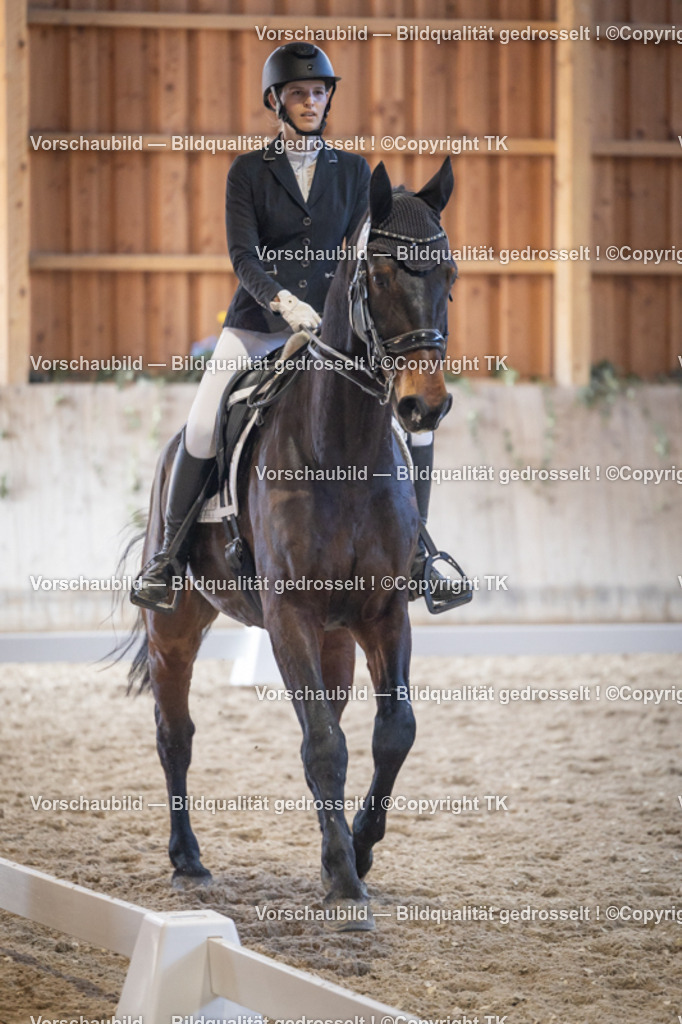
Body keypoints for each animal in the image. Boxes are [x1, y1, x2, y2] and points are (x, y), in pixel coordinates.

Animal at [128, 157, 457, 930]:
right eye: (379, 274)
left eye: (449, 275)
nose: (424, 407)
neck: (341, 449)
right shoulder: (289, 617)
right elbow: (323, 744)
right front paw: (345, 883)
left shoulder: (382, 614)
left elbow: (390, 733)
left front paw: (355, 854)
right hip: (174, 627)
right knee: (175, 733)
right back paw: (187, 859)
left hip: (336, 637)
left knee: (329, 718)